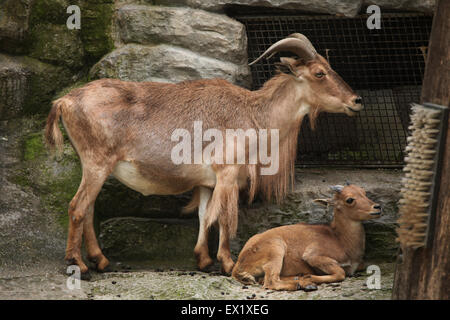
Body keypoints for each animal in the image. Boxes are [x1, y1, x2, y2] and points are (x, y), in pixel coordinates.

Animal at [44, 33, 362, 276]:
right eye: (319, 73)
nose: (356, 101)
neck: (255, 115)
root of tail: (65, 101)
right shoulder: (227, 174)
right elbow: (224, 218)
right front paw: (227, 262)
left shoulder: (208, 183)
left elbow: (204, 215)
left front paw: (204, 259)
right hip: (97, 164)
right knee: (78, 207)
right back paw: (79, 264)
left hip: (94, 166)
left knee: (87, 209)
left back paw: (100, 260)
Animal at [232, 184, 384, 292]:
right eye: (350, 199)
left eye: (363, 192)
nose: (377, 207)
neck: (341, 240)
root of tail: (238, 266)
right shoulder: (313, 255)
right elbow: (341, 273)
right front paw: (310, 277)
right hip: (276, 250)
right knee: (270, 281)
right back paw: (301, 284)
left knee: (264, 280)